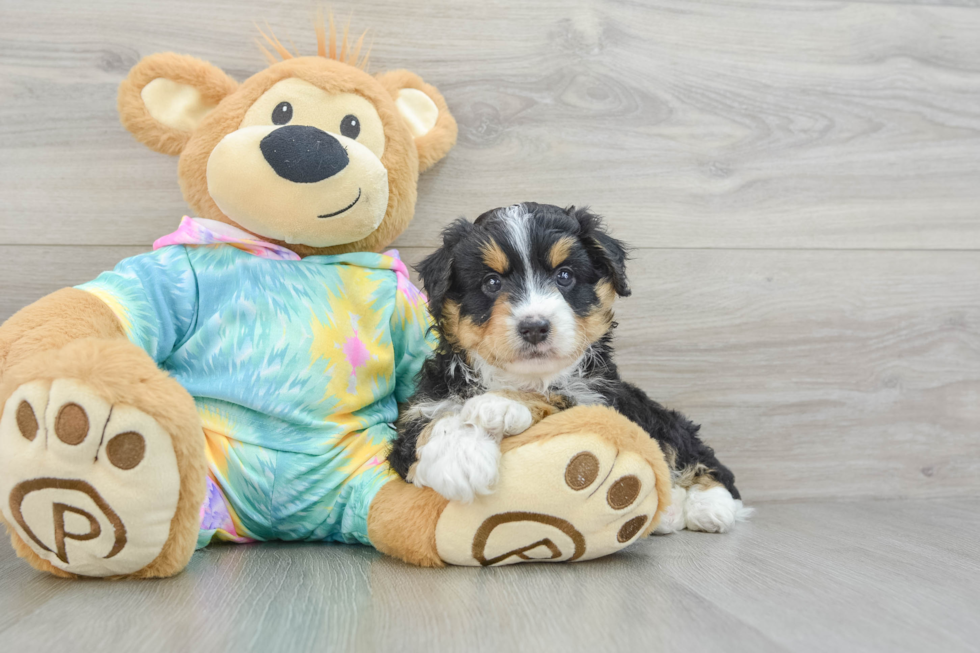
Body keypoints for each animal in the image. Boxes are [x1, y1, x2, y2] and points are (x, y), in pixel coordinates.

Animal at [388, 202, 752, 528]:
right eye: (492, 282)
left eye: (564, 276)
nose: (535, 326)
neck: (521, 376)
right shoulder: (421, 409)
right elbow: (434, 425)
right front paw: (461, 459)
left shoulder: (599, 401)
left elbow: (557, 396)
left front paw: (499, 404)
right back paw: (670, 512)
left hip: (657, 416)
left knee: (699, 455)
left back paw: (709, 507)